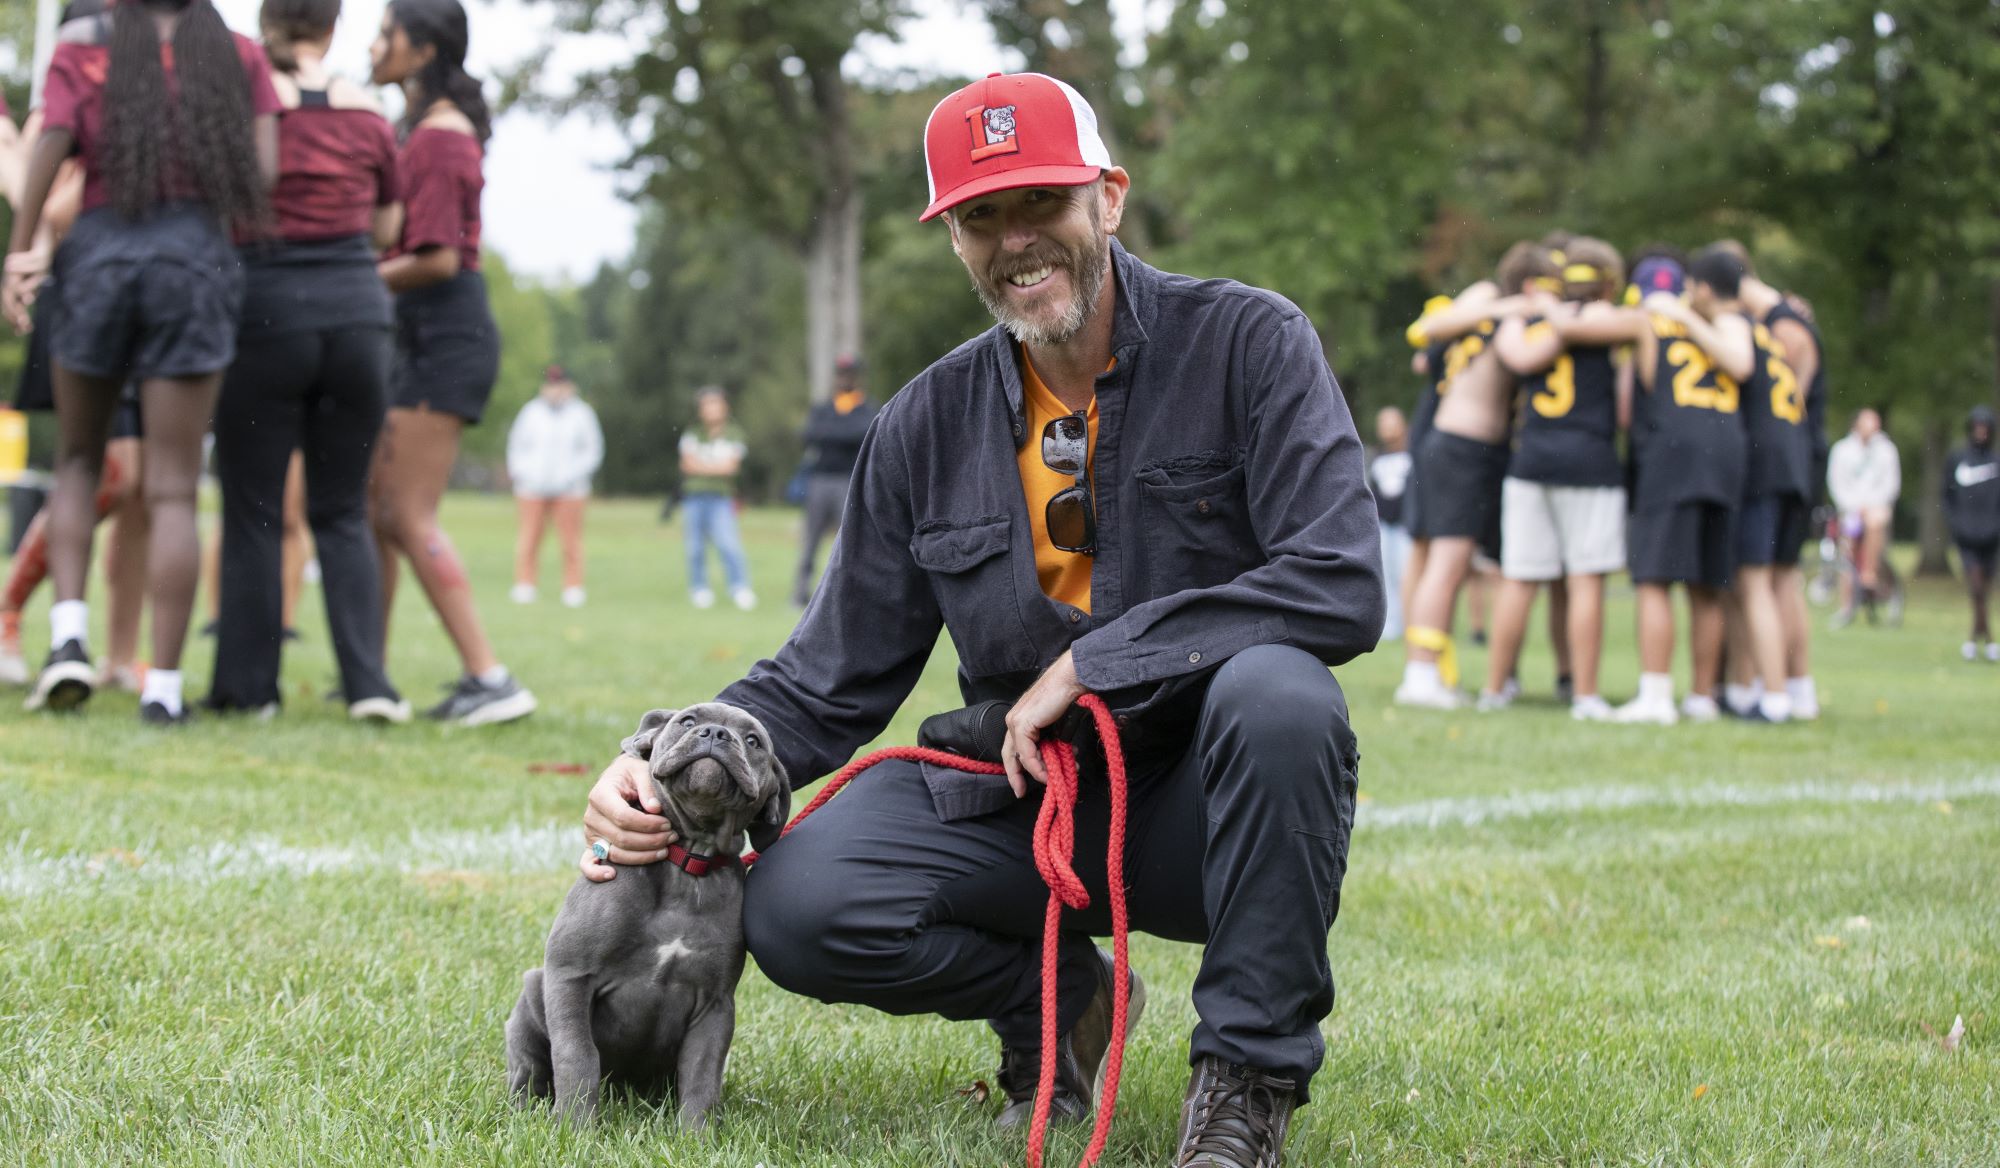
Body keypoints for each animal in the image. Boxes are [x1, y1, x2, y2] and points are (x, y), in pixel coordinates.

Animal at [504, 704, 792, 1120]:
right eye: (687, 721)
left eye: (753, 741)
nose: (716, 733)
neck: (688, 861)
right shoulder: (570, 974)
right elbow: (577, 1054)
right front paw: (574, 1126)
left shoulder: (715, 1005)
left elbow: (703, 1074)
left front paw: (696, 1133)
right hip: (531, 995)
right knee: (528, 1067)